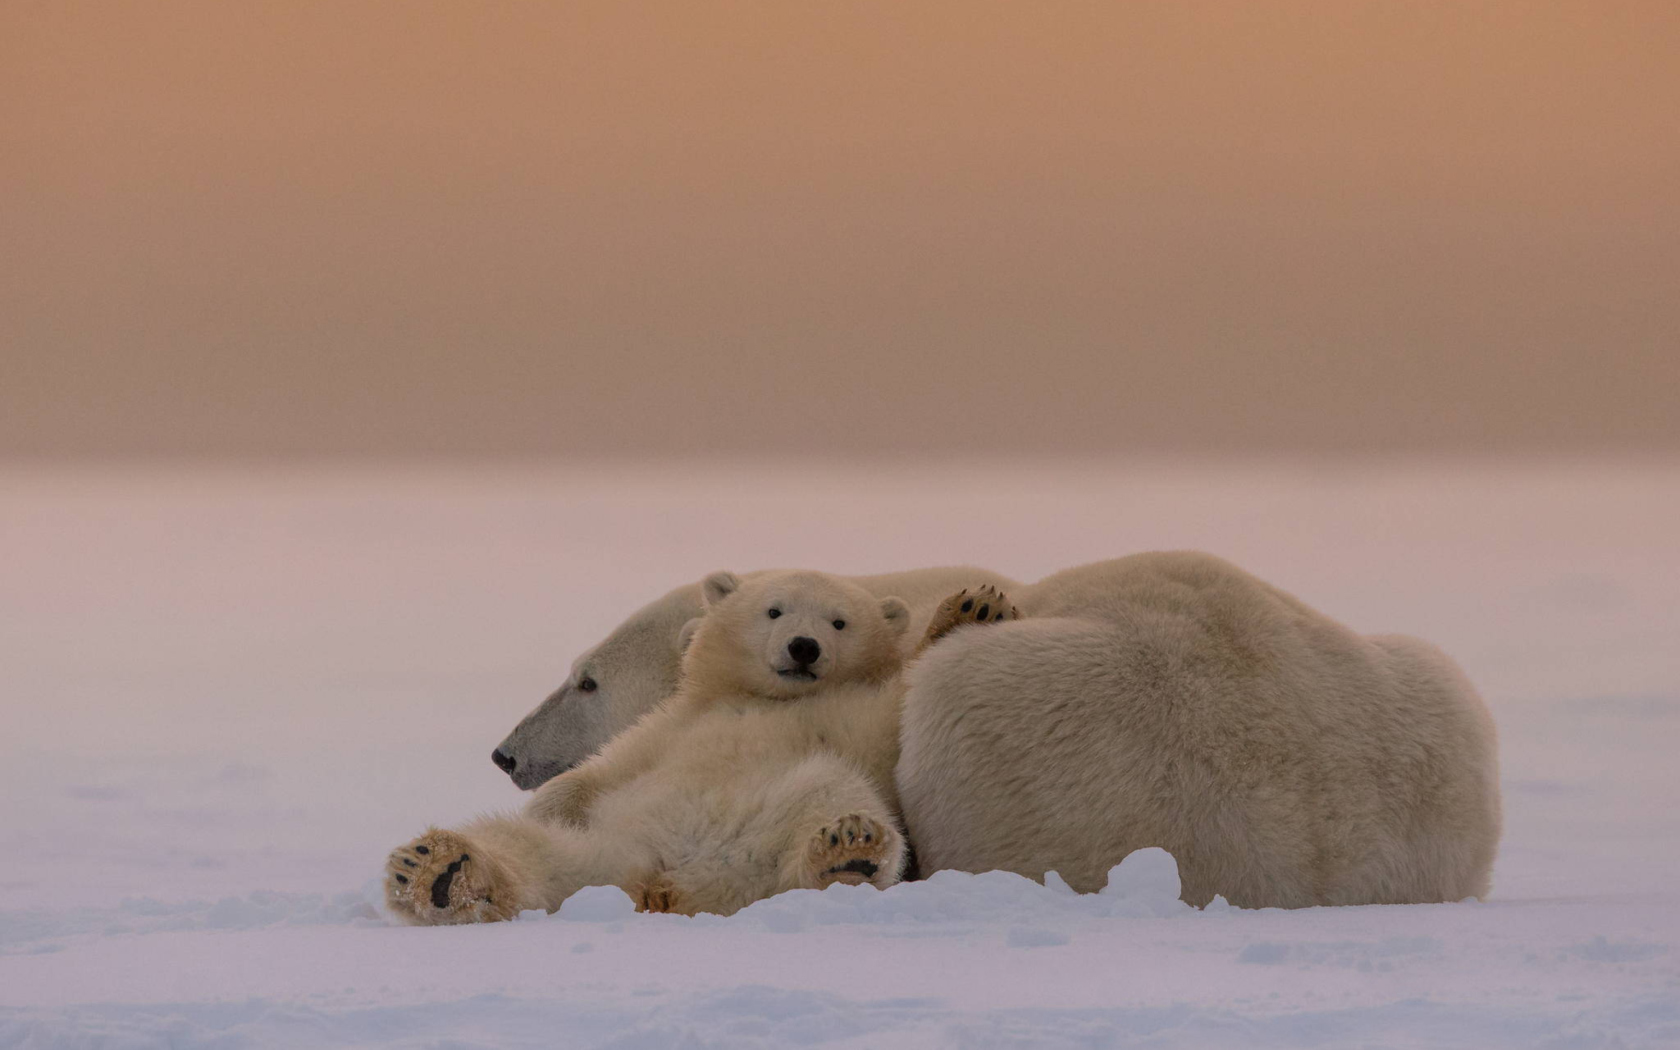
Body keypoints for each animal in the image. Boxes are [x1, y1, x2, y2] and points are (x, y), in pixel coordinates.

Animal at [384, 567, 1007, 920]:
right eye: (774, 610)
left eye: (839, 622)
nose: (803, 647)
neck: (759, 698)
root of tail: (664, 884)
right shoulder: (674, 721)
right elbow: (604, 770)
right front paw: (971, 607)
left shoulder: (851, 715)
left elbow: (894, 710)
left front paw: (975, 609)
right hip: (607, 846)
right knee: (524, 847)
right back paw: (435, 870)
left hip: (785, 816)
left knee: (832, 798)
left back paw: (847, 850)